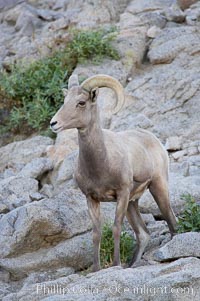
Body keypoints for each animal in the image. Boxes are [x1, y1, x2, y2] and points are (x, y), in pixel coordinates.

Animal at [50, 74, 177, 270]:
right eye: (65, 101)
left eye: (81, 102)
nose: (53, 123)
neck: (101, 164)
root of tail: (154, 140)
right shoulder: (92, 199)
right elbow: (96, 233)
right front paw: (96, 269)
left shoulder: (121, 194)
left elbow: (116, 228)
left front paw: (116, 264)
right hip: (132, 203)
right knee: (143, 234)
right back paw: (132, 264)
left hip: (157, 187)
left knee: (171, 220)